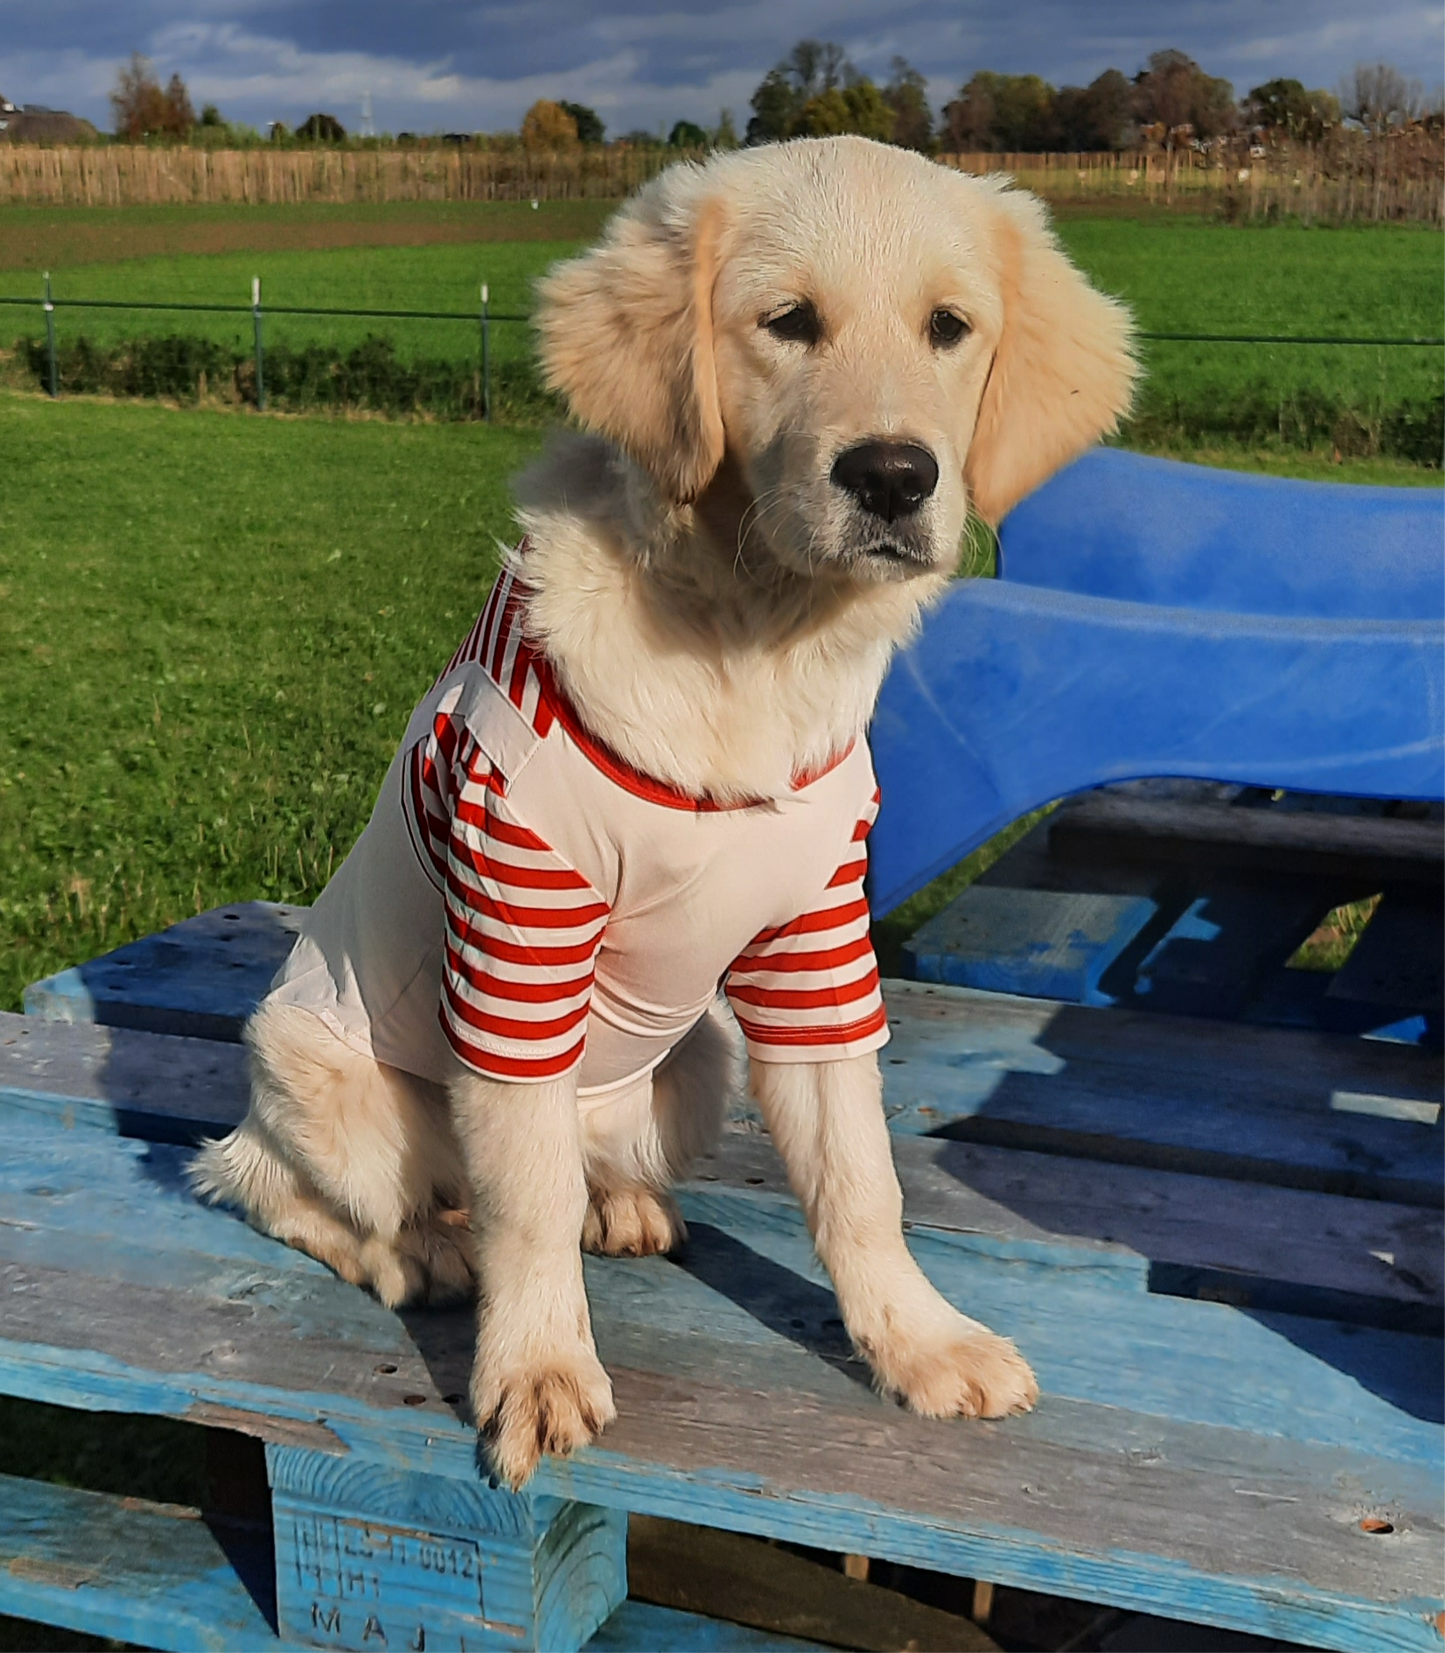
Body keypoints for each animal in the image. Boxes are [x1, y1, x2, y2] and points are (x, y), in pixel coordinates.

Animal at [194, 138, 1137, 1487]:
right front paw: (536, 1369)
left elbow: (861, 1184)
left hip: (686, 1070)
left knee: (570, 1167)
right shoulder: (521, 936)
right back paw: (420, 1250)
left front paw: (916, 1342)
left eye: (948, 328)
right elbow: (522, 1209)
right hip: (322, 1082)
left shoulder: (814, 948)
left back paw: (621, 1204)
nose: (892, 476)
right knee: (279, 1188)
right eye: (786, 322)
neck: (749, 640)